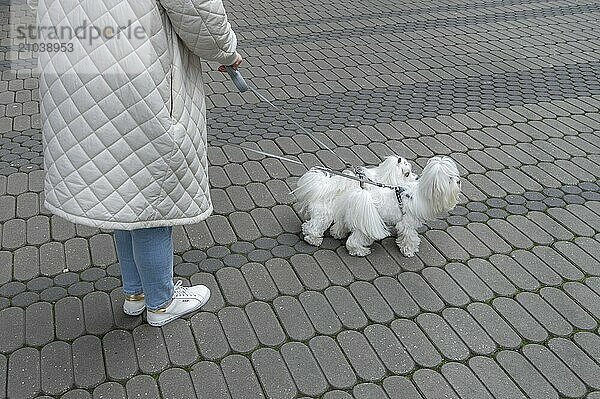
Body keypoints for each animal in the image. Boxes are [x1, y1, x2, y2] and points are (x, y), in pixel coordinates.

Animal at [330, 156, 462, 256]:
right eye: (450, 179)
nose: (459, 181)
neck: (420, 193)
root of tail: (356, 196)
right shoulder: (407, 224)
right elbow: (410, 237)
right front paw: (409, 251)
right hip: (364, 226)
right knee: (353, 241)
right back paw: (360, 251)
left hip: (348, 216)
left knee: (341, 225)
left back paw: (337, 233)